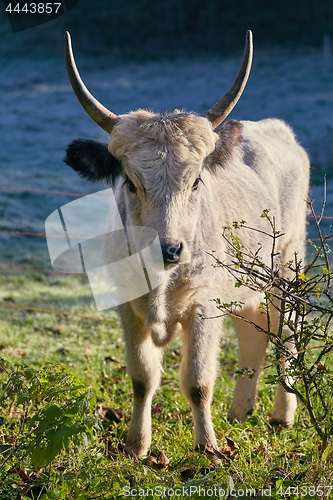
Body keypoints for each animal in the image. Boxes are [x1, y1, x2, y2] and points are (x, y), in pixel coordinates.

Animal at [64, 29, 308, 456]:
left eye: (195, 181)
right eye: (131, 183)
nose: (171, 249)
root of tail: (276, 131)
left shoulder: (205, 306)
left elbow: (197, 382)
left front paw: (208, 448)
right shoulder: (127, 307)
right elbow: (142, 377)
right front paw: (136, 446)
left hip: (287, 268)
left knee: (286, 337)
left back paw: (282, 416)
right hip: (250, 286)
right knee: (253, 334)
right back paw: (240, 412)